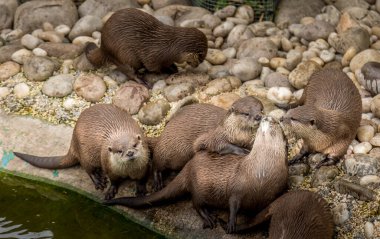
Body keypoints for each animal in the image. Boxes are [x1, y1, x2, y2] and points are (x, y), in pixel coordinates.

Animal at [13, 104, 150, 200]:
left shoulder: (143, 166)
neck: (128, 171)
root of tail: (73, 142)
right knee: (87, 168)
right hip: (85, 154)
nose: (130, 153)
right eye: (120, 150)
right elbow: (114, 180)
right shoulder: (109, 167)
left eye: (134, 145)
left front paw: (141, 188)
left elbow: (142, 178)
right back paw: (99, 181)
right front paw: (110, 190)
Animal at [104, 117, 288, 233]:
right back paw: (209, 218)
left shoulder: (276, 191)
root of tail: (188, 167)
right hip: (199, 187)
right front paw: (231, 223)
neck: (261, 173)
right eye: (270, 121)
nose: (265, 117)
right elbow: (233, 203)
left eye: (275, 123)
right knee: (196, 203)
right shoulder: (237, 186)